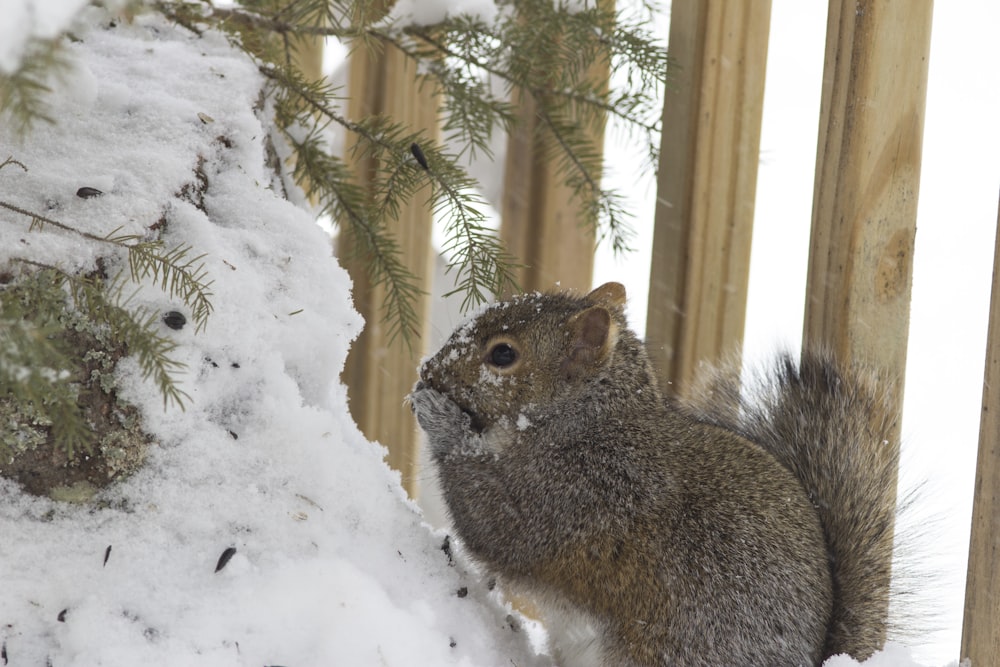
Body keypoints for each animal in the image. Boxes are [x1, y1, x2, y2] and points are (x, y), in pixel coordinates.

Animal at [406, 284, 900, 667]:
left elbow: (496, 526)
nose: (428, 369)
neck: (587, 422)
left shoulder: (584, 496)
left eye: (503, 354)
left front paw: (437, 416)